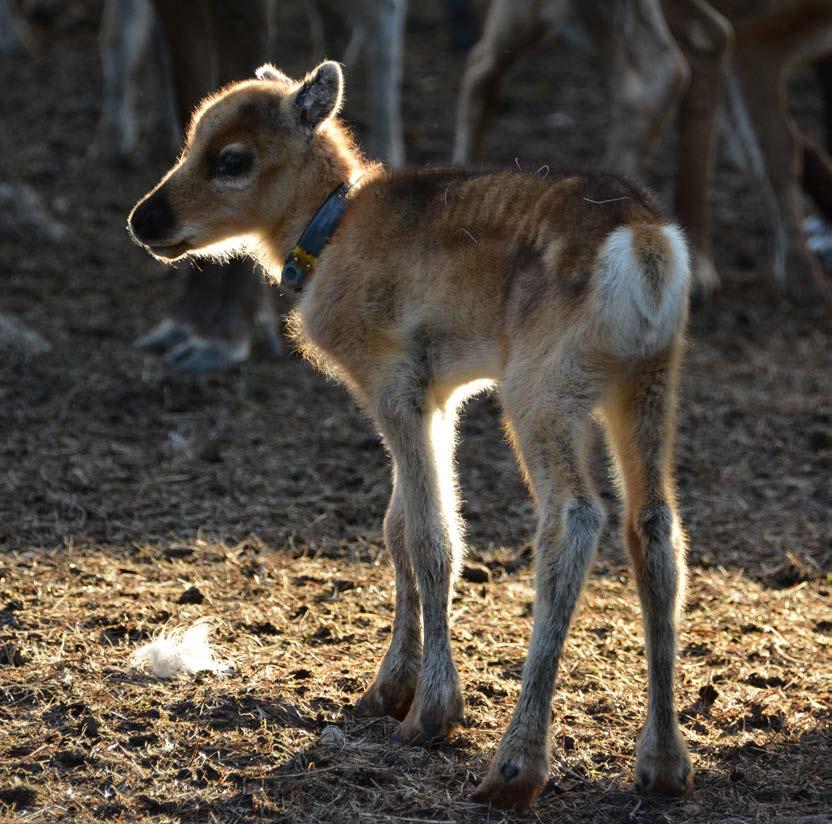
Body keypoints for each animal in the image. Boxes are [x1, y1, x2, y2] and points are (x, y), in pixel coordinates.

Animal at [127, 62, 692, 812]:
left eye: (232, 159)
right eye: (192, 139)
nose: (145, 218)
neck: (331, 230)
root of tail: (645, 246)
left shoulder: (395, 381)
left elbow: (431, 534)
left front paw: (431, 711)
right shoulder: (439, 397)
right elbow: (396, 526)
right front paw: (385, 689)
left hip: (542, 388)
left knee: (573, 517)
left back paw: (515, 767)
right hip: (648, 382)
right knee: (653, 525)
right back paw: (663, 763)